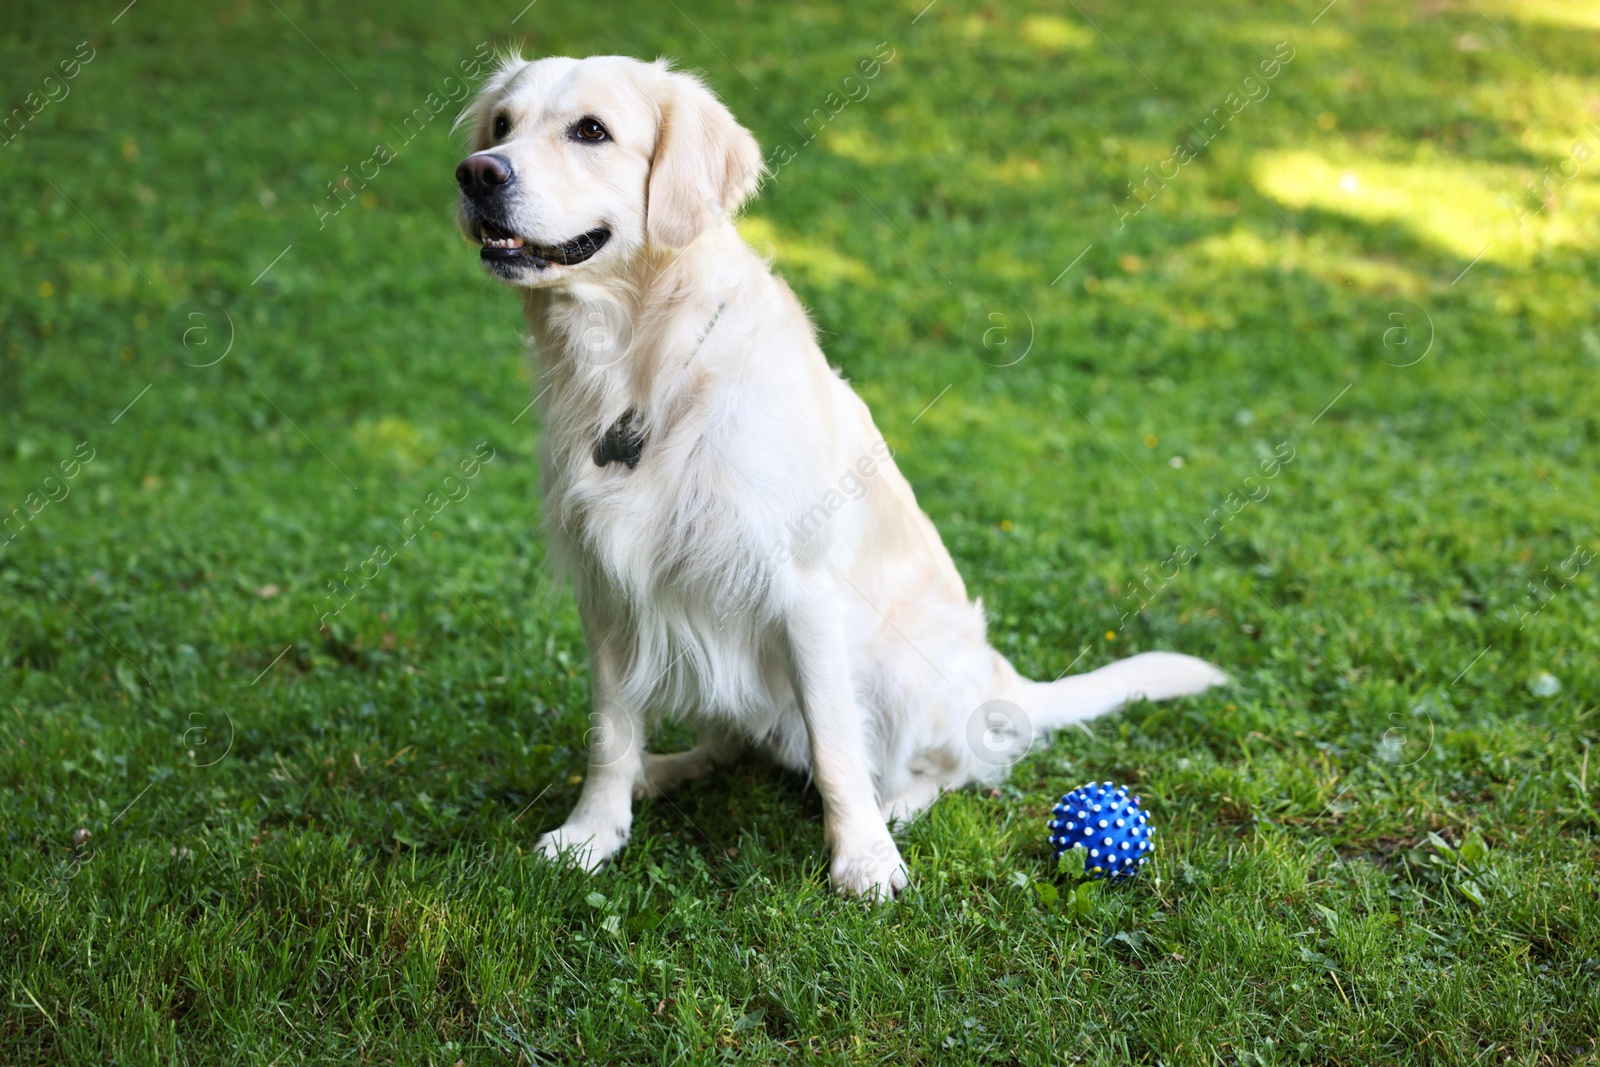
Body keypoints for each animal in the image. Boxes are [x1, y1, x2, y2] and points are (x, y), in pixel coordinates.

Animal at [457, 51, 1228, 902]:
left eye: (591, 131)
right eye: (501, 126)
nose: (476, 173)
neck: (645, 368)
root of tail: (997, 676)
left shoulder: (802, 589)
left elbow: (833, 745)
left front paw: (862, 855)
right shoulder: (606, 588)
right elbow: (611, 729)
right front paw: (594, 830)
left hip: (906, 672)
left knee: (958, 761)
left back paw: (899, 803)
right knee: (734, 742)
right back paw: (665, 770)